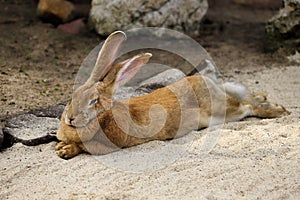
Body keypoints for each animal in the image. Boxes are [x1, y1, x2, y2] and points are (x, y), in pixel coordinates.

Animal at [55, 30, 290, 159]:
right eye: (71, 98)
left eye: (93, 101)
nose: (70, 118)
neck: (103, 115)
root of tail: (207, 82)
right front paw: (60, 146)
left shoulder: (106, 145)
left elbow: (84, 147)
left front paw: (64, 150)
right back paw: (265, 99)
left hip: (222, 111)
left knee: (247, 108)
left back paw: (278, 111)